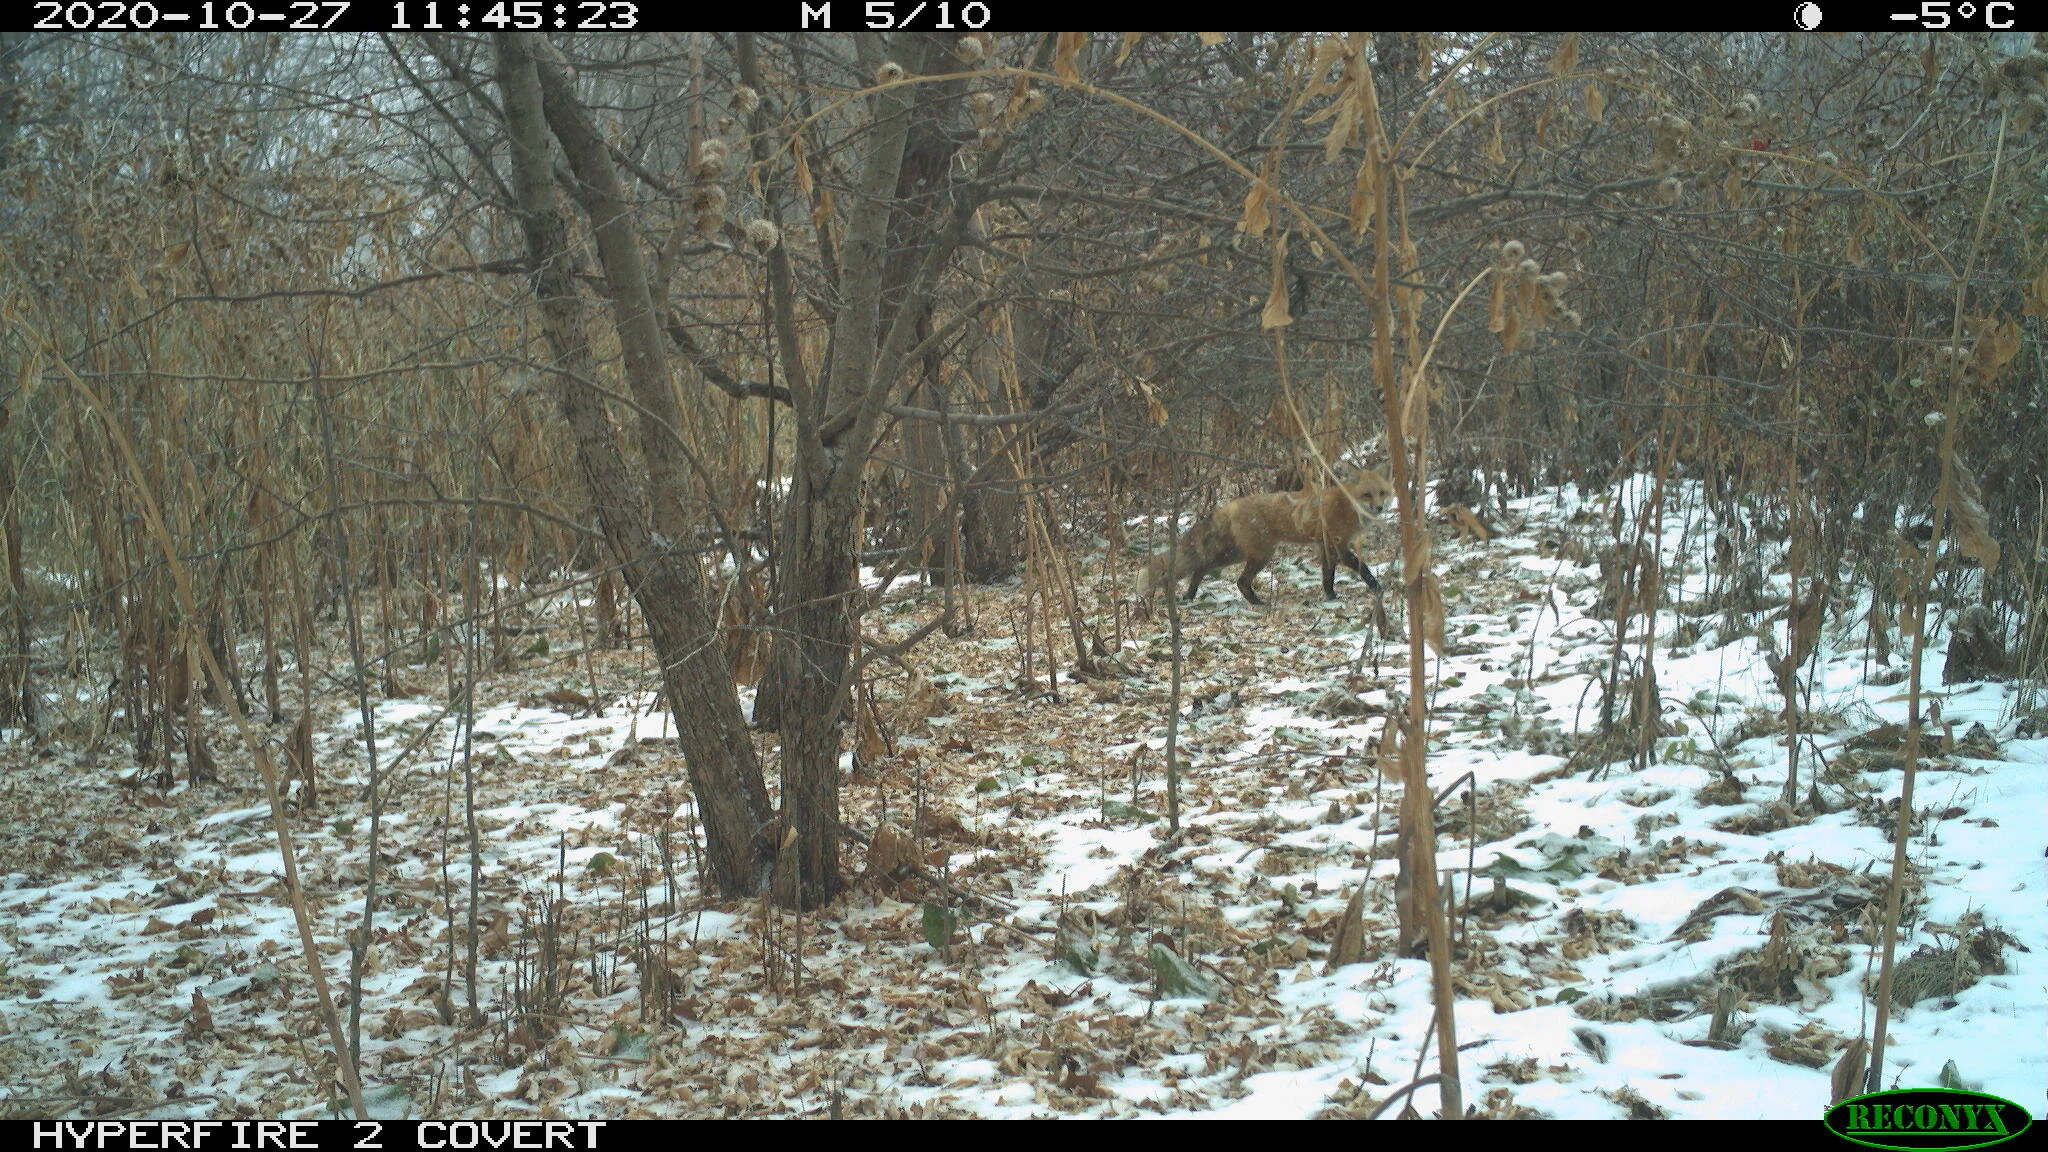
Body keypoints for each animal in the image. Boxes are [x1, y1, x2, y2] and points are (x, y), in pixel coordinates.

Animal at [1140, 468, 1393, 605]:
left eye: (1382, 493)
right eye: (1367, 494)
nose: (1380, 507)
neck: (1347, 505)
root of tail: (1229, 505)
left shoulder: (1326, 546)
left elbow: (1327, 575)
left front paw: (1330, 595)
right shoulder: (1338, 544)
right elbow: (1361, 567)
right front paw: (1377, 587)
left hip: (1236, 554)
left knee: (1201, 567)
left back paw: (1190, 595)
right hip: (1260, 554)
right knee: (1239, 581)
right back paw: (1257, 602)